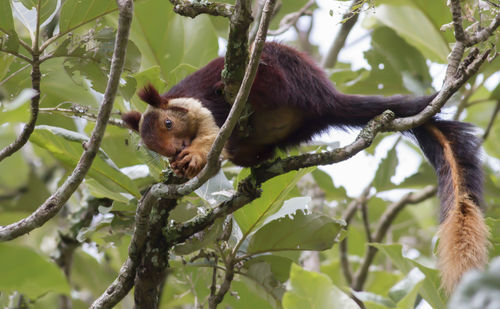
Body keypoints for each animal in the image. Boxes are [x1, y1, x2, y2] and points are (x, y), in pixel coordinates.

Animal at [123, 41, 490, 294]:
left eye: (169, 123)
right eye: (154, 147)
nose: (176, 151)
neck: (179, 99)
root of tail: (324, 97)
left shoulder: (202, 110)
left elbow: (212, 142)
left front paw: (194, 158)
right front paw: (174, 171)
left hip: (281, 77)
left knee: (263, 81)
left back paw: (245, 84)